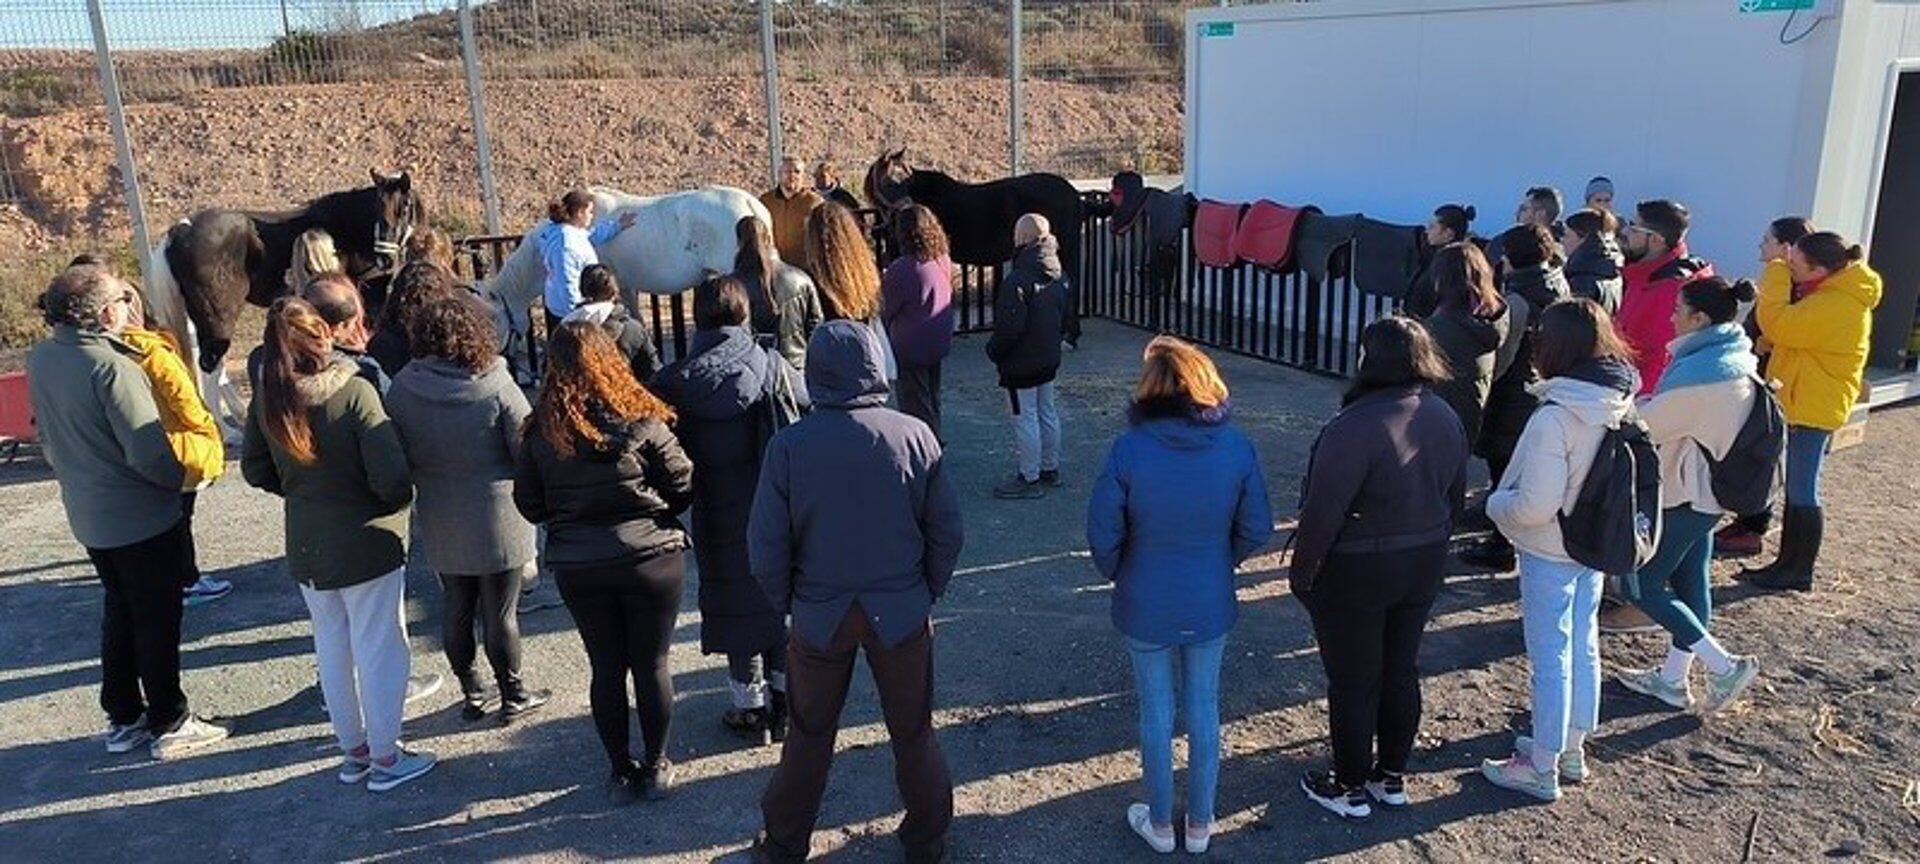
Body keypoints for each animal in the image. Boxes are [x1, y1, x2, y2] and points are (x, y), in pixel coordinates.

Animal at [144, 167, 424, 372]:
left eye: (404, 207)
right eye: (377, 206)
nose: (385, 258)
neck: (349, 228)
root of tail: (180, 230)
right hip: (217, 316)